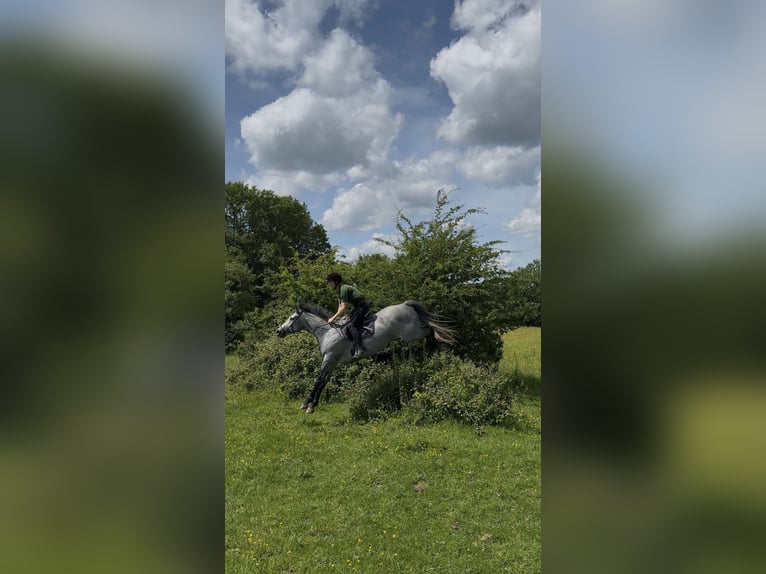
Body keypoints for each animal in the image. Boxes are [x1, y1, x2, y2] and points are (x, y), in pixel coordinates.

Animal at [276, 301, 457, 413]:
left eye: (291, 318)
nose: (279, 331)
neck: (327, 332)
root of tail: (405, 304)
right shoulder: (332, 361)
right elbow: (323, 382)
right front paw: (313, 405)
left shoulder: (329, 358)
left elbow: (318, 380)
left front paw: (306, 404)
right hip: (411, 333)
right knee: (428, 329)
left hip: (411, 333)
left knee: (430, 329)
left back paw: (437, 345)